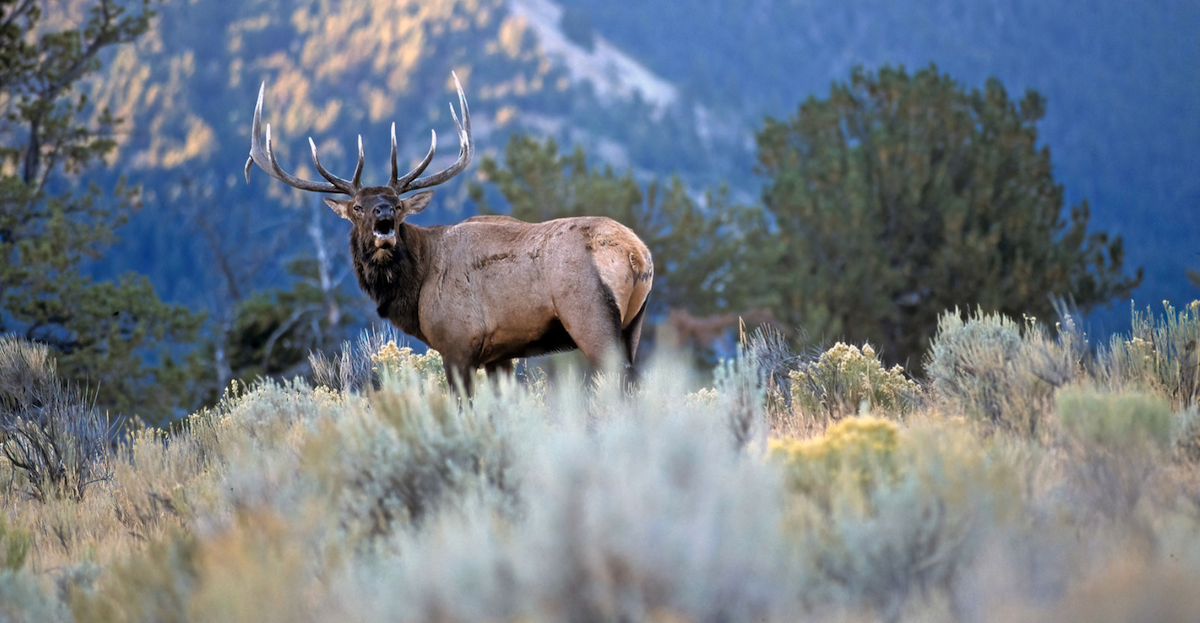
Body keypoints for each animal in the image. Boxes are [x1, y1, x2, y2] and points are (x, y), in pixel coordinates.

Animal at [244, 75, 653, 394]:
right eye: (357, 207)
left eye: (398, 203)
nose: (384, 211)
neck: (415, 290)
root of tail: (637, 254)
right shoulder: (500, 354)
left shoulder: (457, 342)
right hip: (634, 325)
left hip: (590, 318)